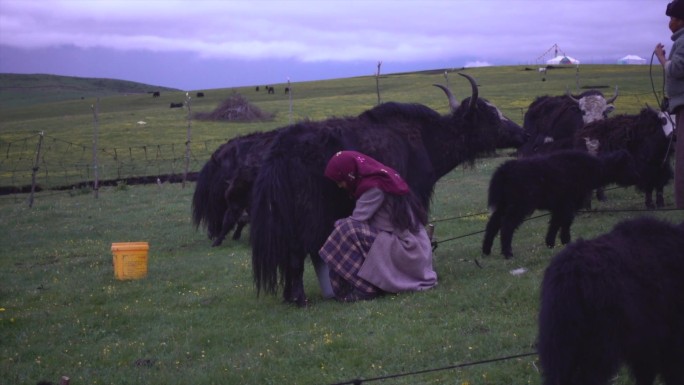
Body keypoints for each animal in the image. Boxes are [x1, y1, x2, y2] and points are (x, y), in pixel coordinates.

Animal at [484, 148, 640, 256]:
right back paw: (507, 253)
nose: (637, 176)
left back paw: (486, 251)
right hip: (520, 205)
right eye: (628, 164)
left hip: (504, 204)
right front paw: (566, 242)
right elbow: (565, 223)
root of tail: (504, 170)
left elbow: (555, 224)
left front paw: (550, 244)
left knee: (493, 223)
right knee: (507, 225)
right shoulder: (568, 205)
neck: (594, 169)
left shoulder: (560, 206)